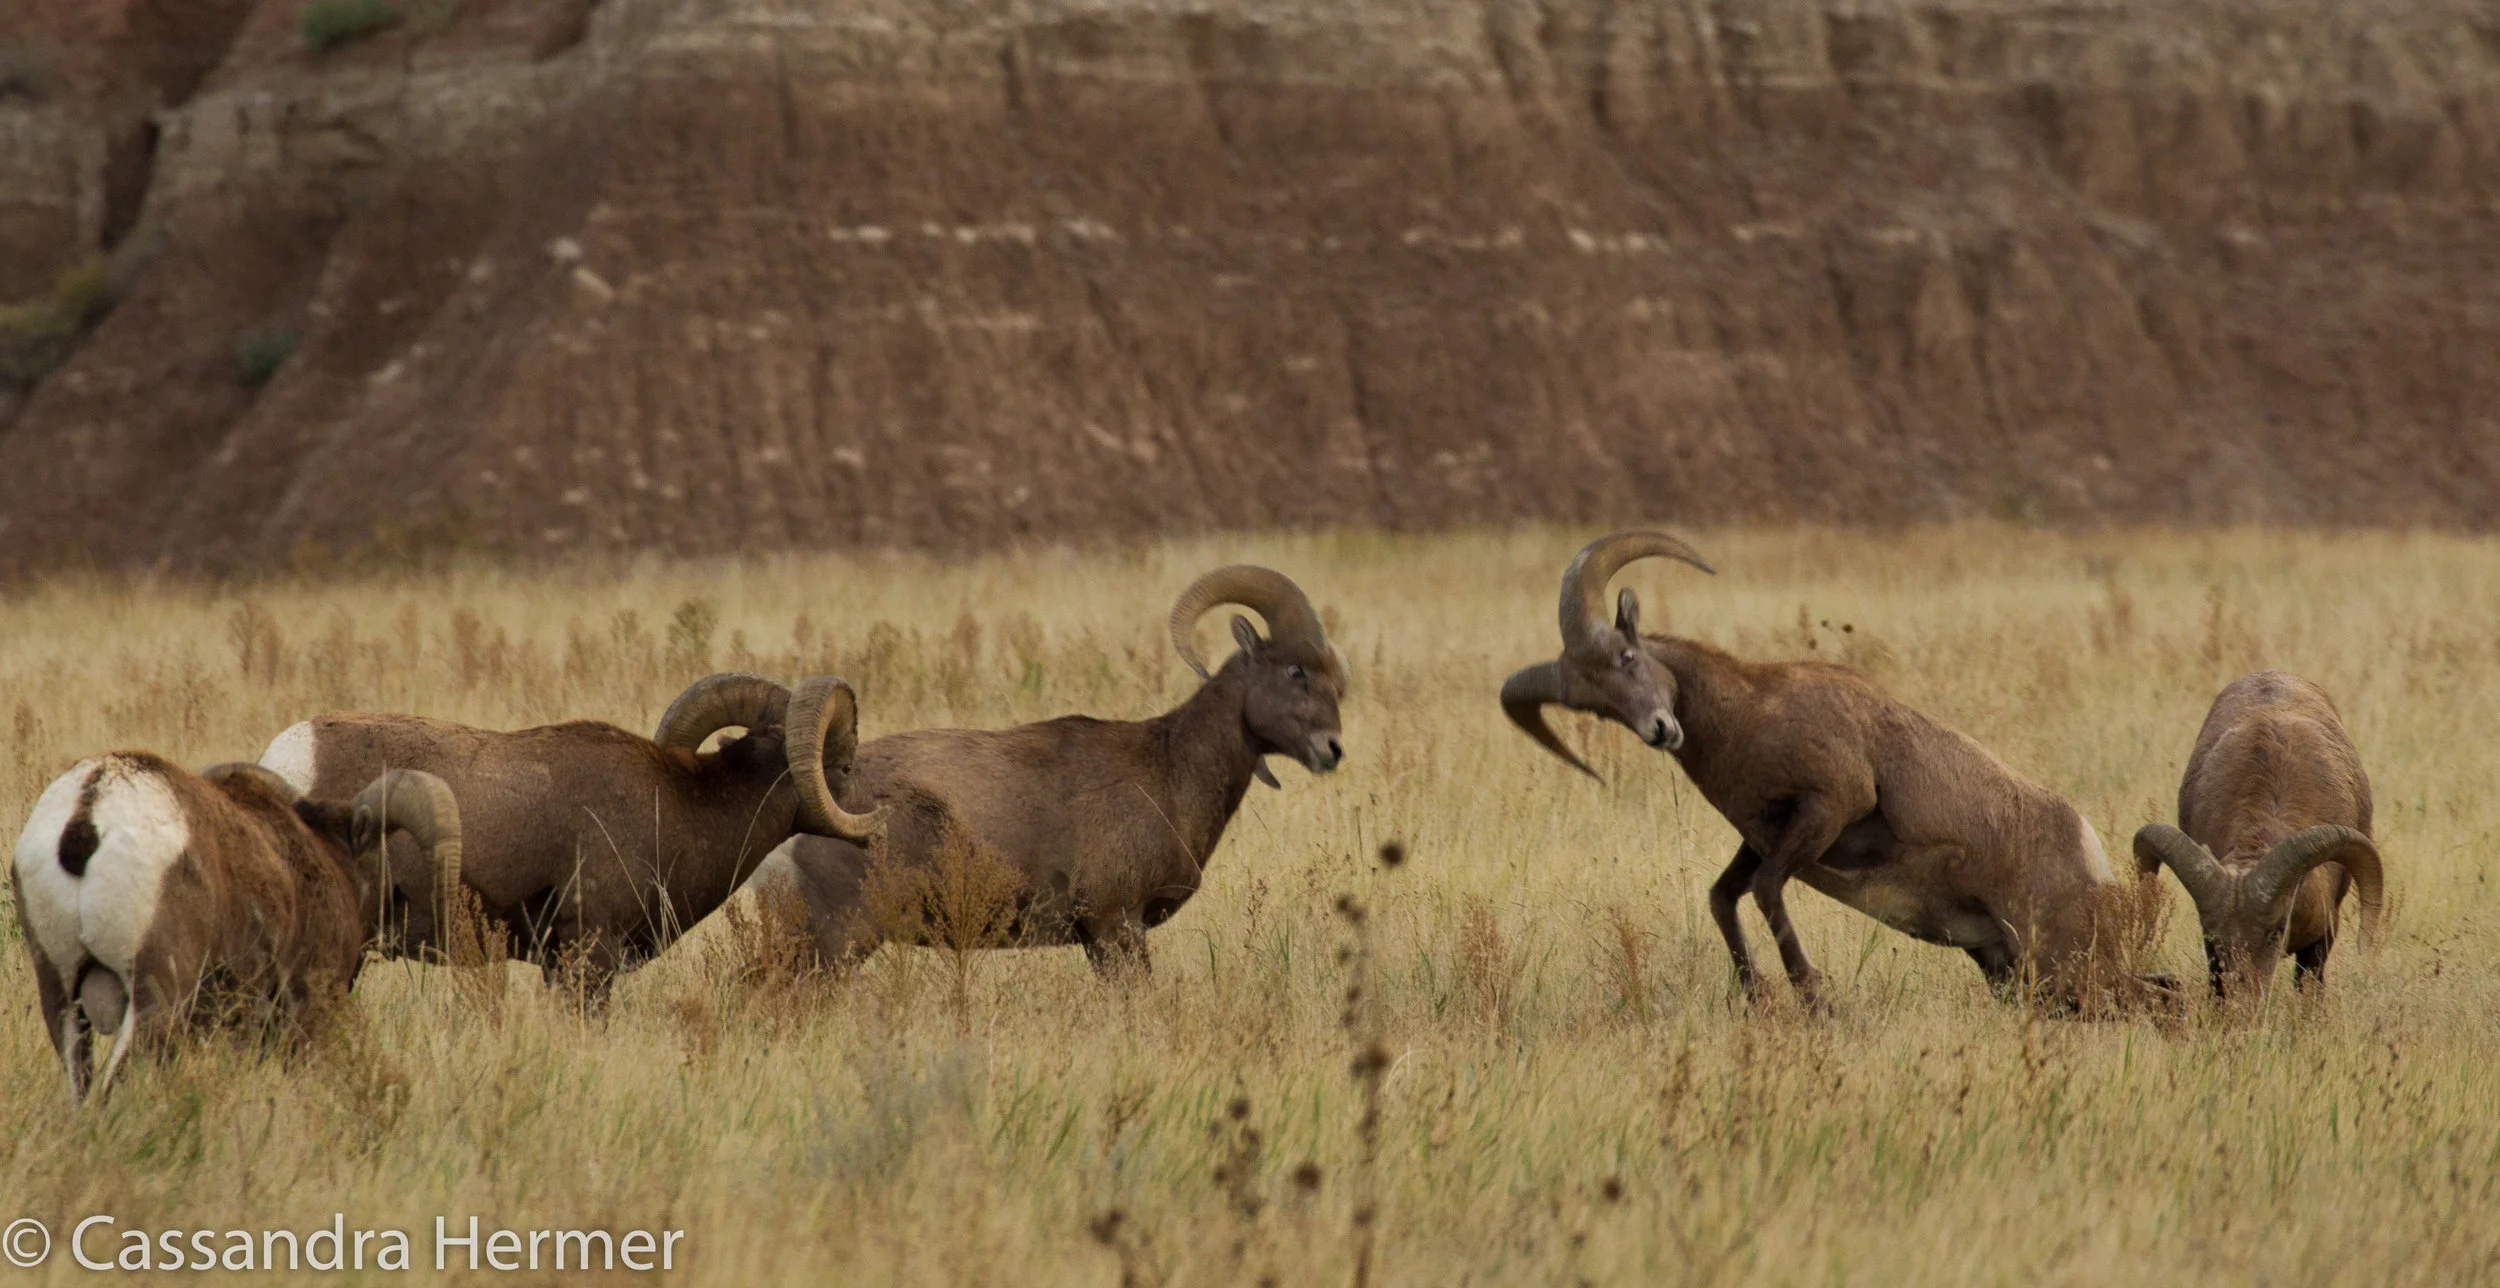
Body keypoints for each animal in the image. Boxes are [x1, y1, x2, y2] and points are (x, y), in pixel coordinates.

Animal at [776, 565, 1345, 975]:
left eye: (1337, 680)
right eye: (1295, 671)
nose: (1333, 749)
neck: (1171, 768)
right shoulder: (1117, 926)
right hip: (838, 943)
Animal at [1500, 530, 2168, 1010]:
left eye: (1627, 656)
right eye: (1597, 707)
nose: (1662, 730)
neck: (1748, 712)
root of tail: (2095, 862)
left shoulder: (1828, 807)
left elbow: (1767, 890)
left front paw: (1812, 993)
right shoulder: (1762, 835)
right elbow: (1724, 897)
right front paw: (1757, 993)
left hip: (2068, 971)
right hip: (2024, 976)